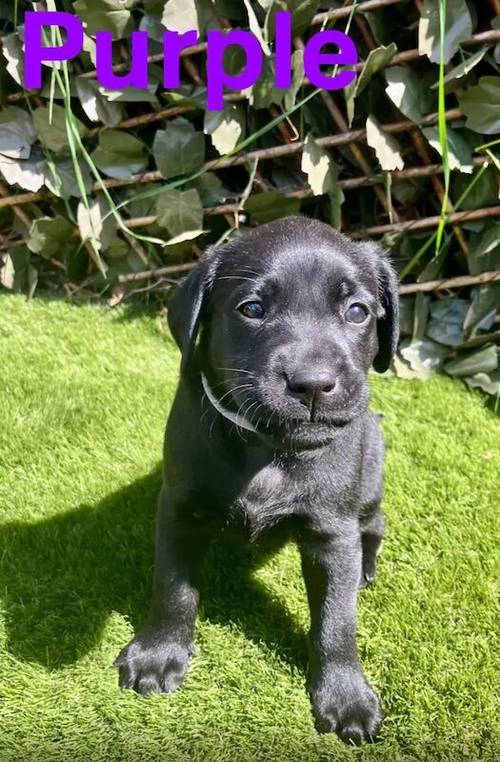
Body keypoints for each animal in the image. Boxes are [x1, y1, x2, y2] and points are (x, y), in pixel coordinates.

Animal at [115, 217, 400, 744]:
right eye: (252, 309)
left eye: (357, 312)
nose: (313, 384)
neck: (267, 448)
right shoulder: (181, 507)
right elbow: (173, 585)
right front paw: (159, 653)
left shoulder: (332, 532)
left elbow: (337, 619)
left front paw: (345, 695)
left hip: (369, 474)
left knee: (374, 524)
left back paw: (366, 565)